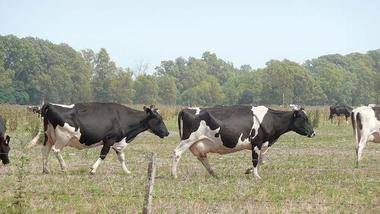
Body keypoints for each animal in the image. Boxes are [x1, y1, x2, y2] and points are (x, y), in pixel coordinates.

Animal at [34, 103, 169, 175]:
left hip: (48, 136)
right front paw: (93, 169)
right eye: (159, 119)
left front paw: (127, 171)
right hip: (63, 137)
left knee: (45, 151)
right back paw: (64, 167)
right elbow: (103, 154)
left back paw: (45, 169)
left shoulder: (118, 142)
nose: (167, 133)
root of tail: (51, 105)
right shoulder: (109, 140)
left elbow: (121, 158)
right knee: (56, 150)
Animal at [172, 104, 314, 180]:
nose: (313, 132)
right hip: (188, 139)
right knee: (176, 153)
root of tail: (187, 109)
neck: (270, 119)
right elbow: (255, 160)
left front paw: (248, 171)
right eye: (304, 119)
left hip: (198, 143)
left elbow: (261, 161)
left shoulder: (262, 145)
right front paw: (256, 176)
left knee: (202, 157)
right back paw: (174, 175)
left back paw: (214, 174)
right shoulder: (256, 142)